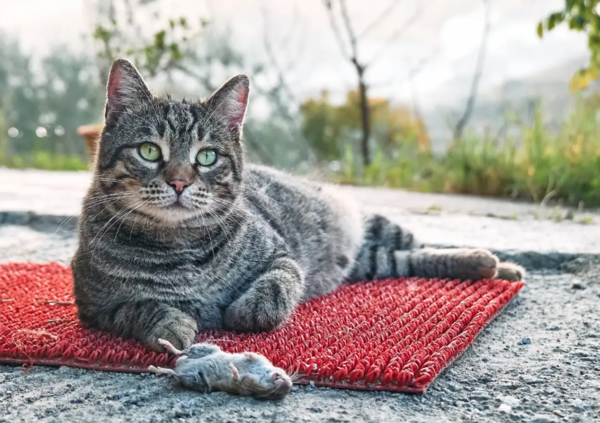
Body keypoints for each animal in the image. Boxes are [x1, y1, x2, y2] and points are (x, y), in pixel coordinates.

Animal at [70, 58, 524, 352]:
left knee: (423, 245)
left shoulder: (282, 253)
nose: (180, 181)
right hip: (374, 262)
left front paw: (249, 310)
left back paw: (500, 265)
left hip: (377, 223)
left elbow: (278, 284)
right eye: (149, 150)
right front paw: (171, 323)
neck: (179, 248)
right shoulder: (93, 305)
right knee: (408, 260)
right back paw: (487, 266)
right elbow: (137, 307)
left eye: (207, 156)